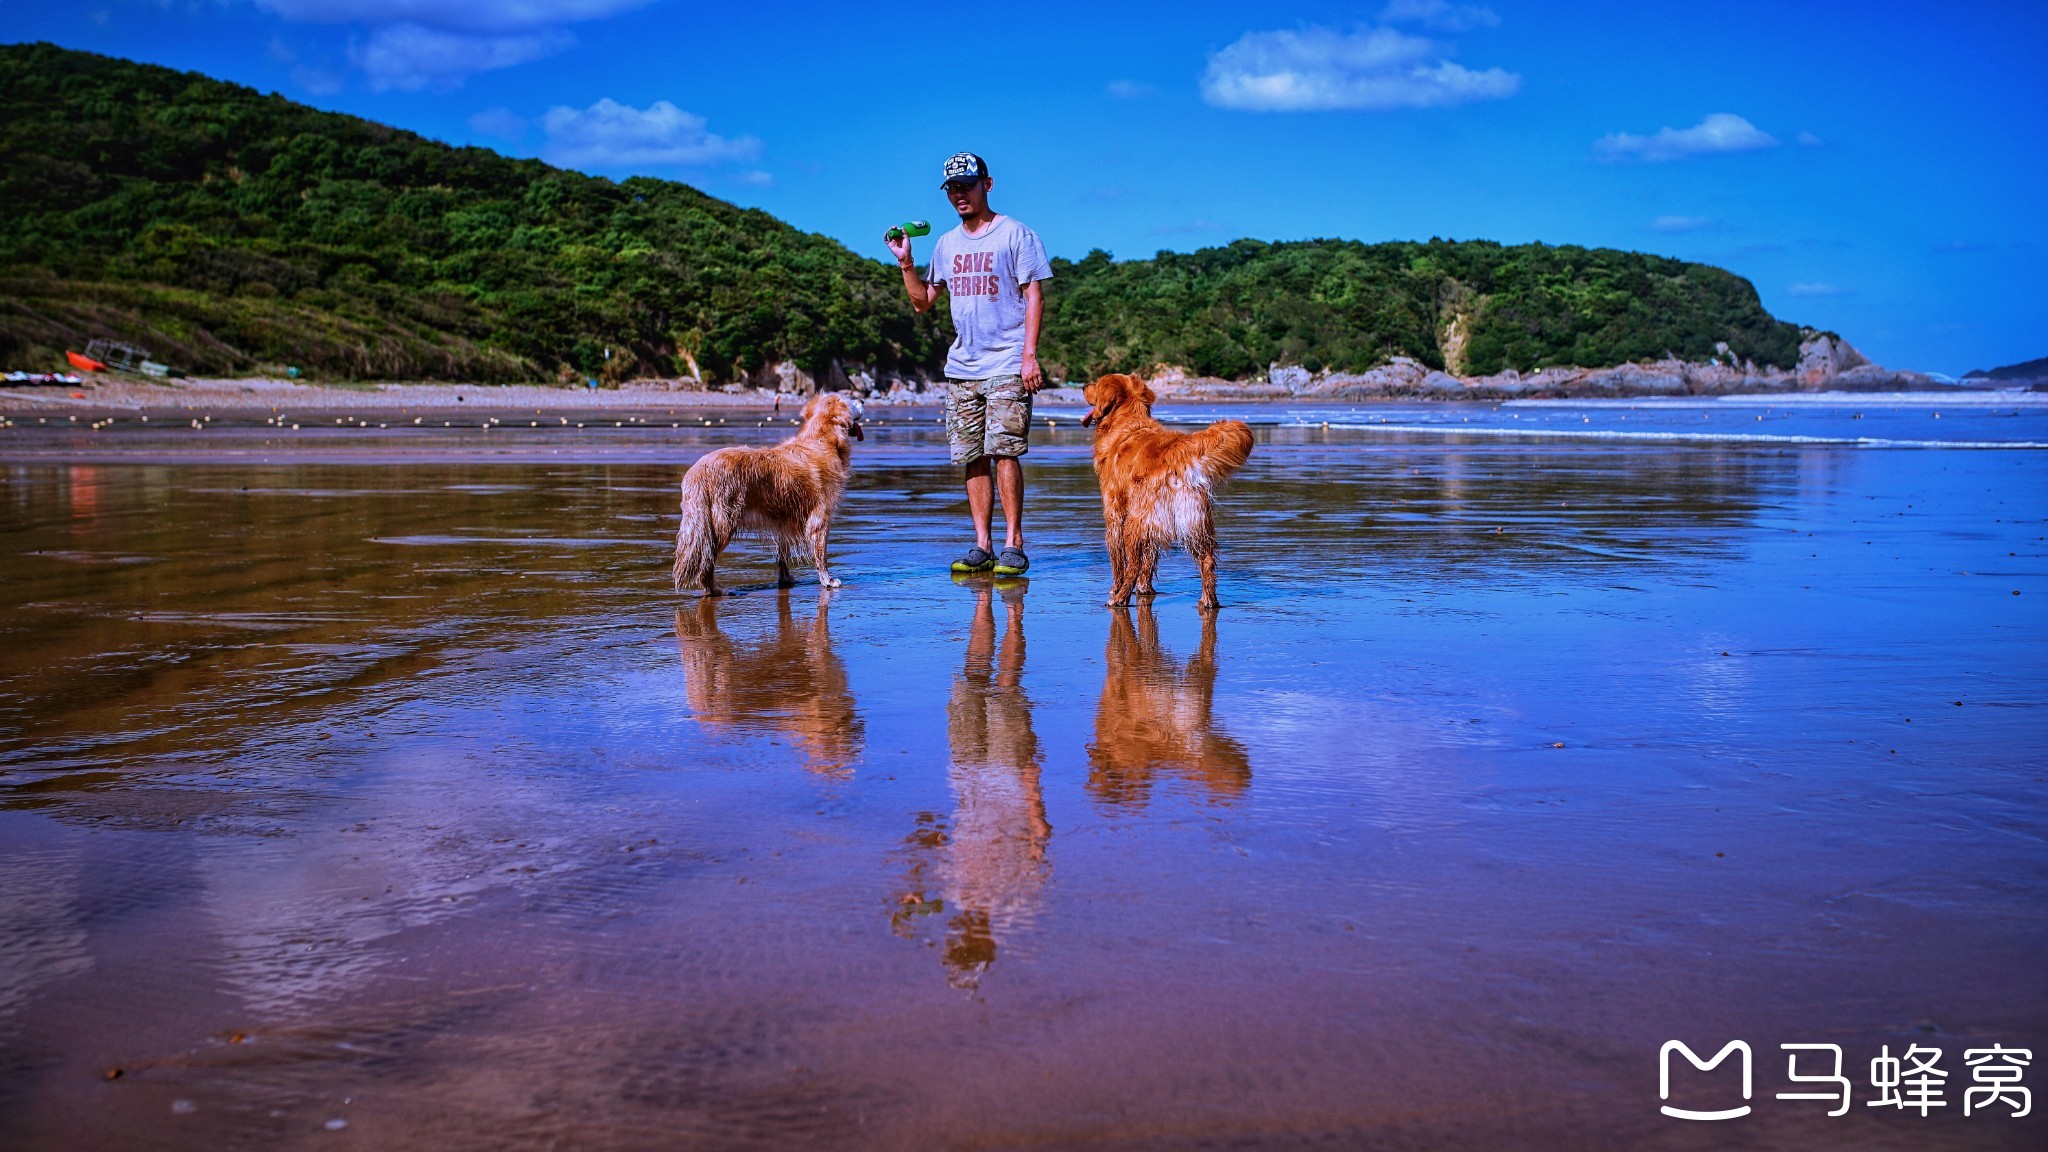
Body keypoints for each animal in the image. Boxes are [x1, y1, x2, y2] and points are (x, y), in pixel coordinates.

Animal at [675, 391, 860, 590]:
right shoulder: (819, 516)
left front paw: (785, 579)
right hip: (723, 521)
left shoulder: (783, 520)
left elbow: (783, 554)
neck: (820, 439)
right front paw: (828, 580)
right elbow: (821, 554)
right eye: (850, 400)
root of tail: (698, 471)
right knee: (707, 560)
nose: (862, 400)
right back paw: (715, 589)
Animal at [1081, 375, 1253, 610]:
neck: (1126, 420)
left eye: (1096, 385)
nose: (1083, 386)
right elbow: (1149, 559)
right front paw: (1144, 590)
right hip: (1194, 520)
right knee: (1207, 560)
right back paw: (1209, 601)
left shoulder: (1115, 511)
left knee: (1133, 564)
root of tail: (1174, 453)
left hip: (1135, 520)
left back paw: (1119, 598)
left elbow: (1119, 560)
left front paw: (1116, 588)